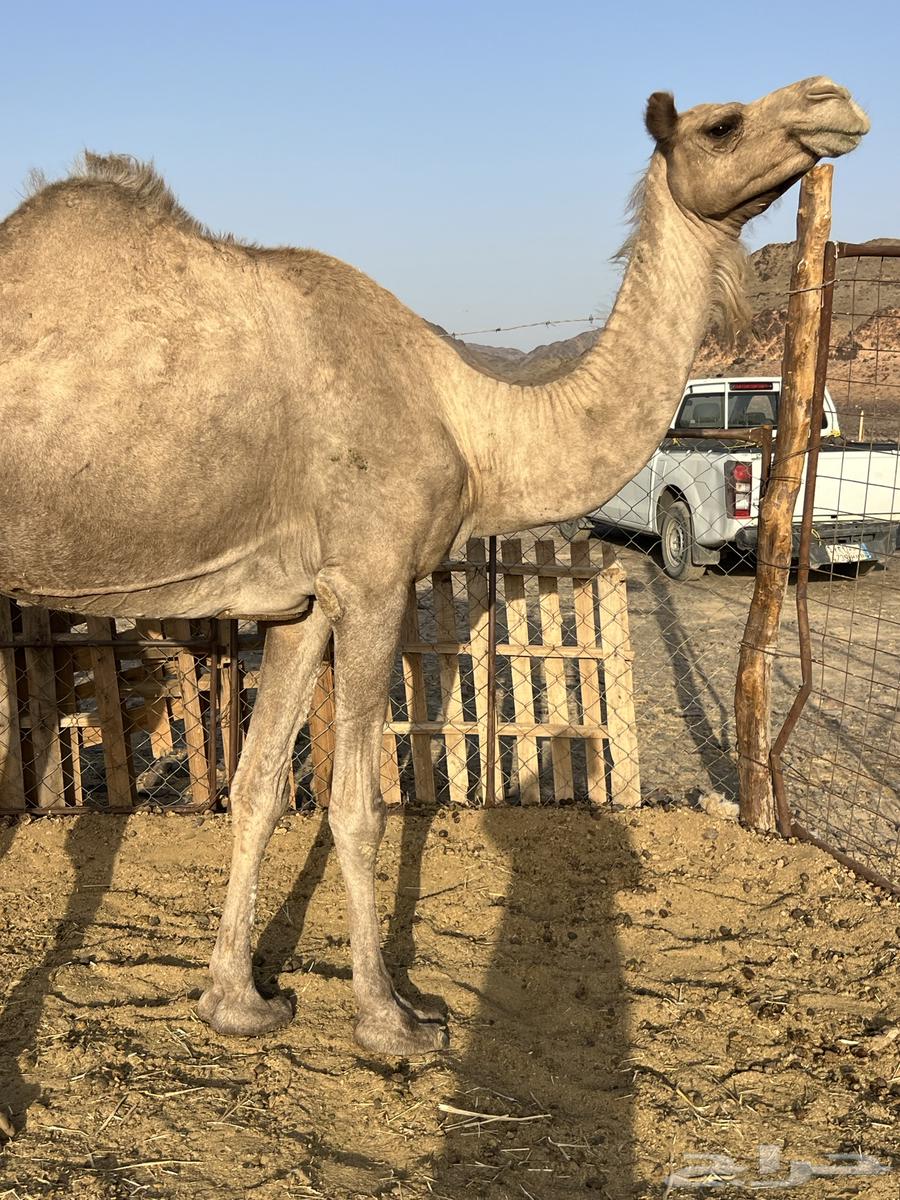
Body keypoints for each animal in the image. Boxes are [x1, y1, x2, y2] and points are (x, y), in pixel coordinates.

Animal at [0, 77, 868, 1055]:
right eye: (722, 124)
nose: (834, 100)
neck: (474, 423)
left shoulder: (303, 602)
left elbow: (260, 787)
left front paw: (238, 1002)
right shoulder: (375, 578)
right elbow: (358, 805)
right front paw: (394, 1020)